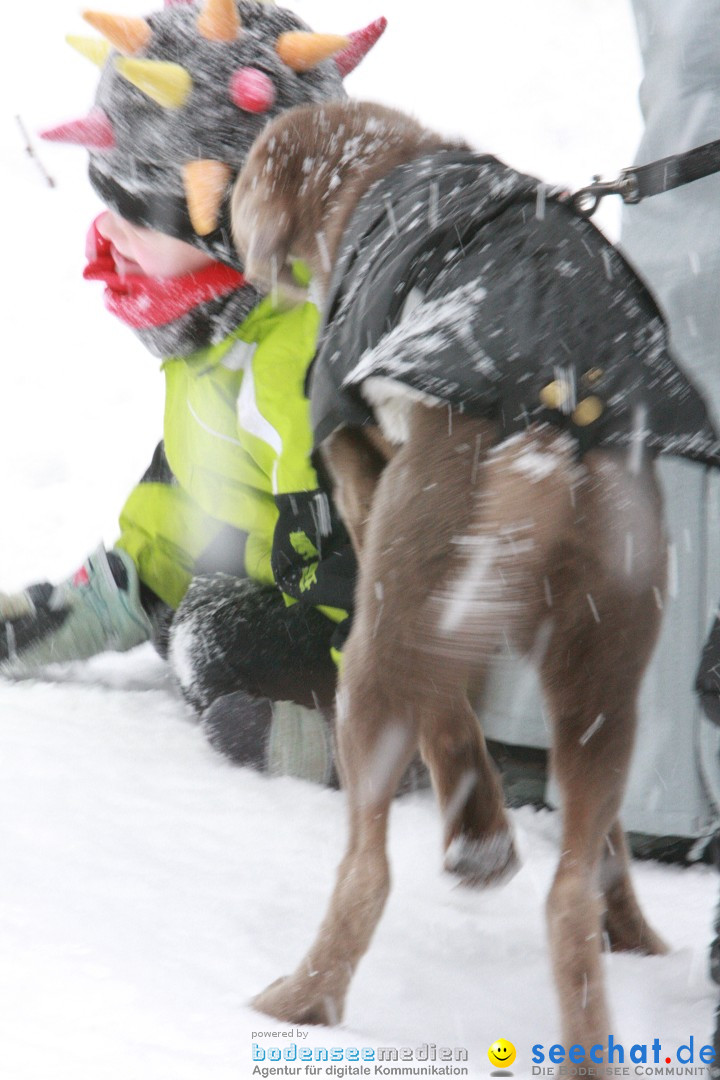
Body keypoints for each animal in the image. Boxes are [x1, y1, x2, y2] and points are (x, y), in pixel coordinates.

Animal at [229, 101, 677, 1062]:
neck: (380, 168)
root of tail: (553, 426)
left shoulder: (364, 502)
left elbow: (450, 723)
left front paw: (482, 840)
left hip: (387, 630)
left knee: (367, 869)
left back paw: (298, 999)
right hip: (605, 667)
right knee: (573, 886)